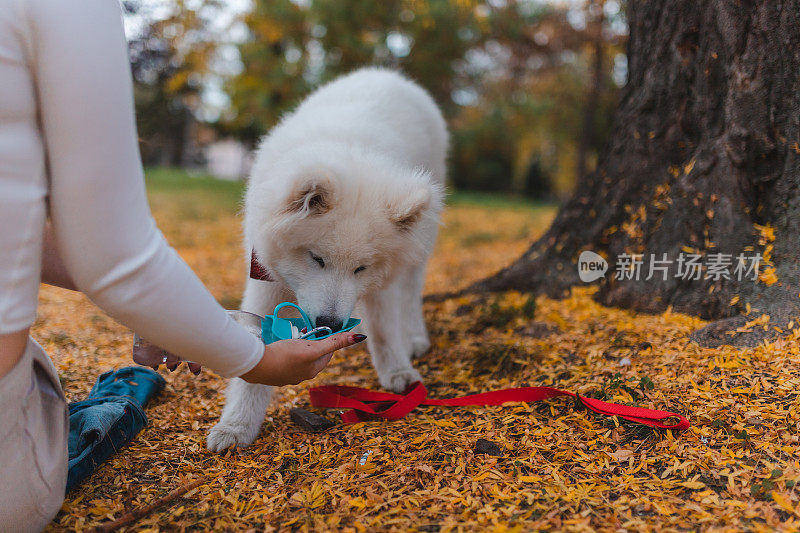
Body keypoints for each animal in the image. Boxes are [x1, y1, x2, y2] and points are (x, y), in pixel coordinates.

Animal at [206, 65, 446, 448]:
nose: (331, 325)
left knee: (410, 291)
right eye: (316, 259)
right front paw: (236, 426)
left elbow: (383, 330)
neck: (347, 148)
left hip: (422, 241)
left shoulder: (380, 283)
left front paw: (397, 371)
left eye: (361, 268)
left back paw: (414, 336)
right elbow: (256, 360)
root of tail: (387, 73)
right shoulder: (266, 277)